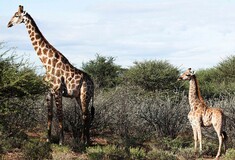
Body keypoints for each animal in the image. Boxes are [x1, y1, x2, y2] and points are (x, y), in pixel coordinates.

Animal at [7, 5, 95, 145]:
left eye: (16, 15)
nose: (8, 24)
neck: (46, 63)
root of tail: (93, 83)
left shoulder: (58, 90)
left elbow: (60, 115)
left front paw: (61, 141)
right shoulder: (48, 92)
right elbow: (50, 114)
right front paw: (48, 139)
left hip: (85, 95)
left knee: (86, 115)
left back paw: (85, 141)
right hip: (78, 96)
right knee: (84, 115)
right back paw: (84, 140)